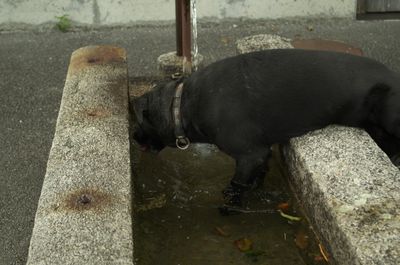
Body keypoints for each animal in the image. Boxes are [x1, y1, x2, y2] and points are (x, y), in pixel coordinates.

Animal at [132, 49, 400, 205]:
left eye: (139, 122)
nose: (133, 137)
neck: (182, 105)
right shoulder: (262, 155)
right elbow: (257, 176)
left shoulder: (250, 155)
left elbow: (236, 186)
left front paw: (230, 205)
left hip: (389, 116)